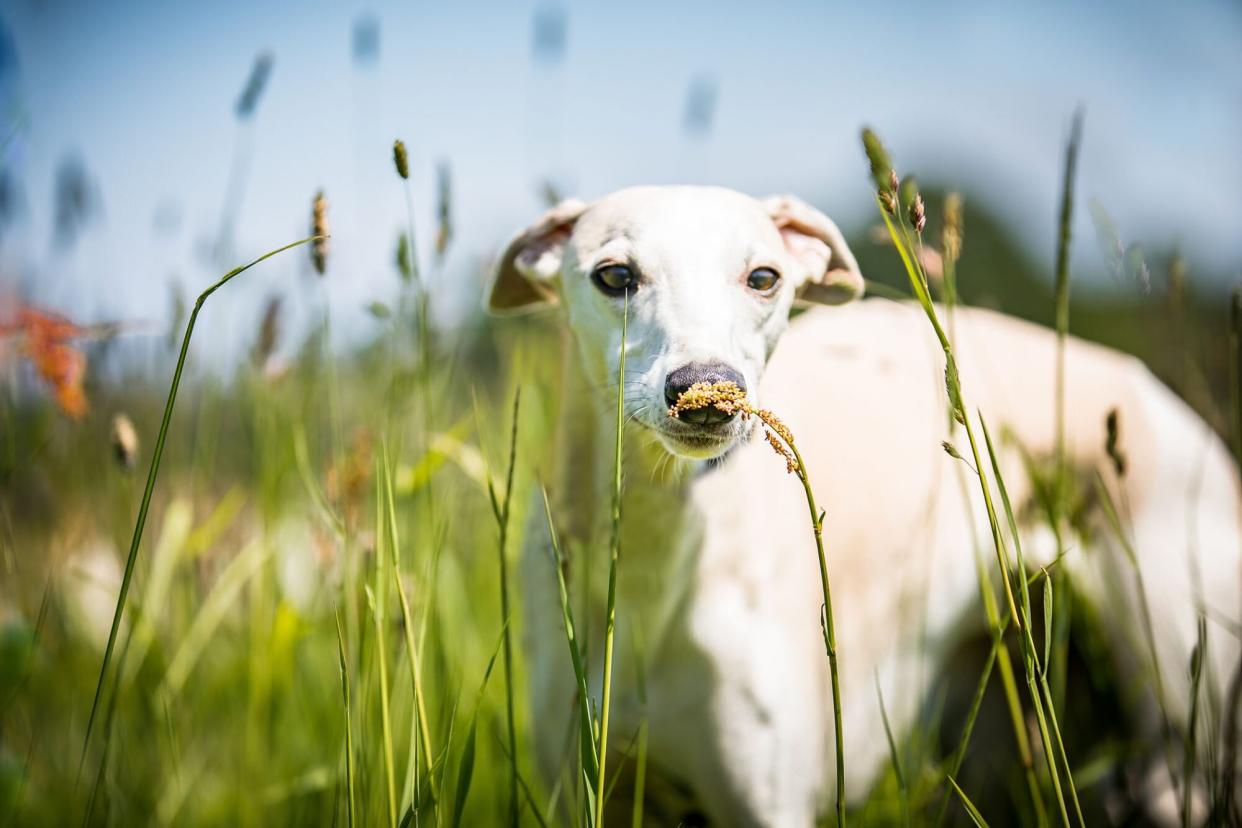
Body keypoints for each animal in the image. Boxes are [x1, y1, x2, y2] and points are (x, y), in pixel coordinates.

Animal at [486, 184, 1242, 824]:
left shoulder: (768, 805)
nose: (706, 394)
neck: (655, 565)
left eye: (764, 277)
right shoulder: (575, 788)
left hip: (1180, 708)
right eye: (614, 275)